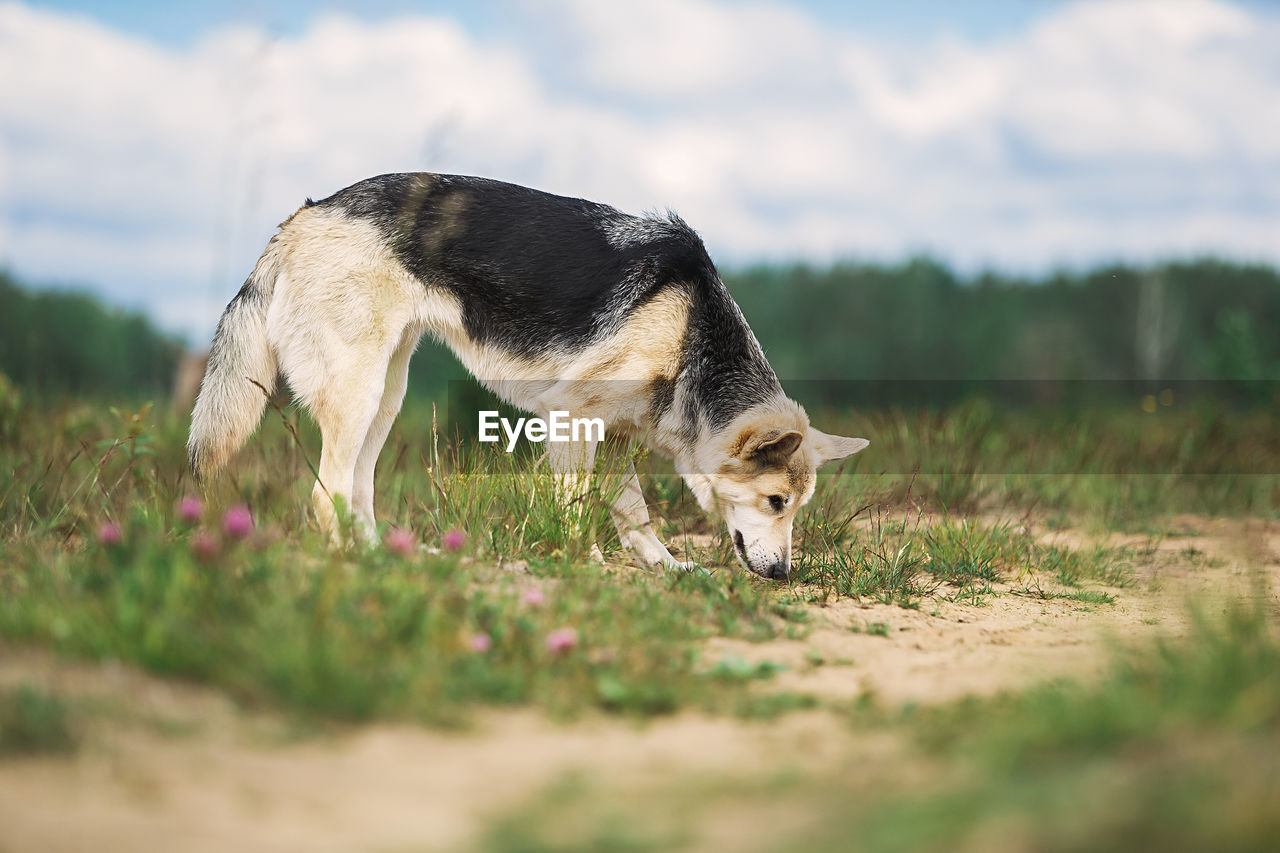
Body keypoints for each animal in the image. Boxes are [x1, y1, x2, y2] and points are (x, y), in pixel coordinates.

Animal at [186, 175, 870, 581]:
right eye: (776, 502)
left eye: (796, 507)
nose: (782, 576)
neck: (690, 335)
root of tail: (303, 217)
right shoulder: (572, 418)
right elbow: (576, 511)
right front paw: (583, 567)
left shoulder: (613, 434)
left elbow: (636, 518)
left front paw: (668, 569)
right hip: (358, 395)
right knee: (323, 497)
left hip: (385, 398)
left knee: (354, 491)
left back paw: (389, 558)